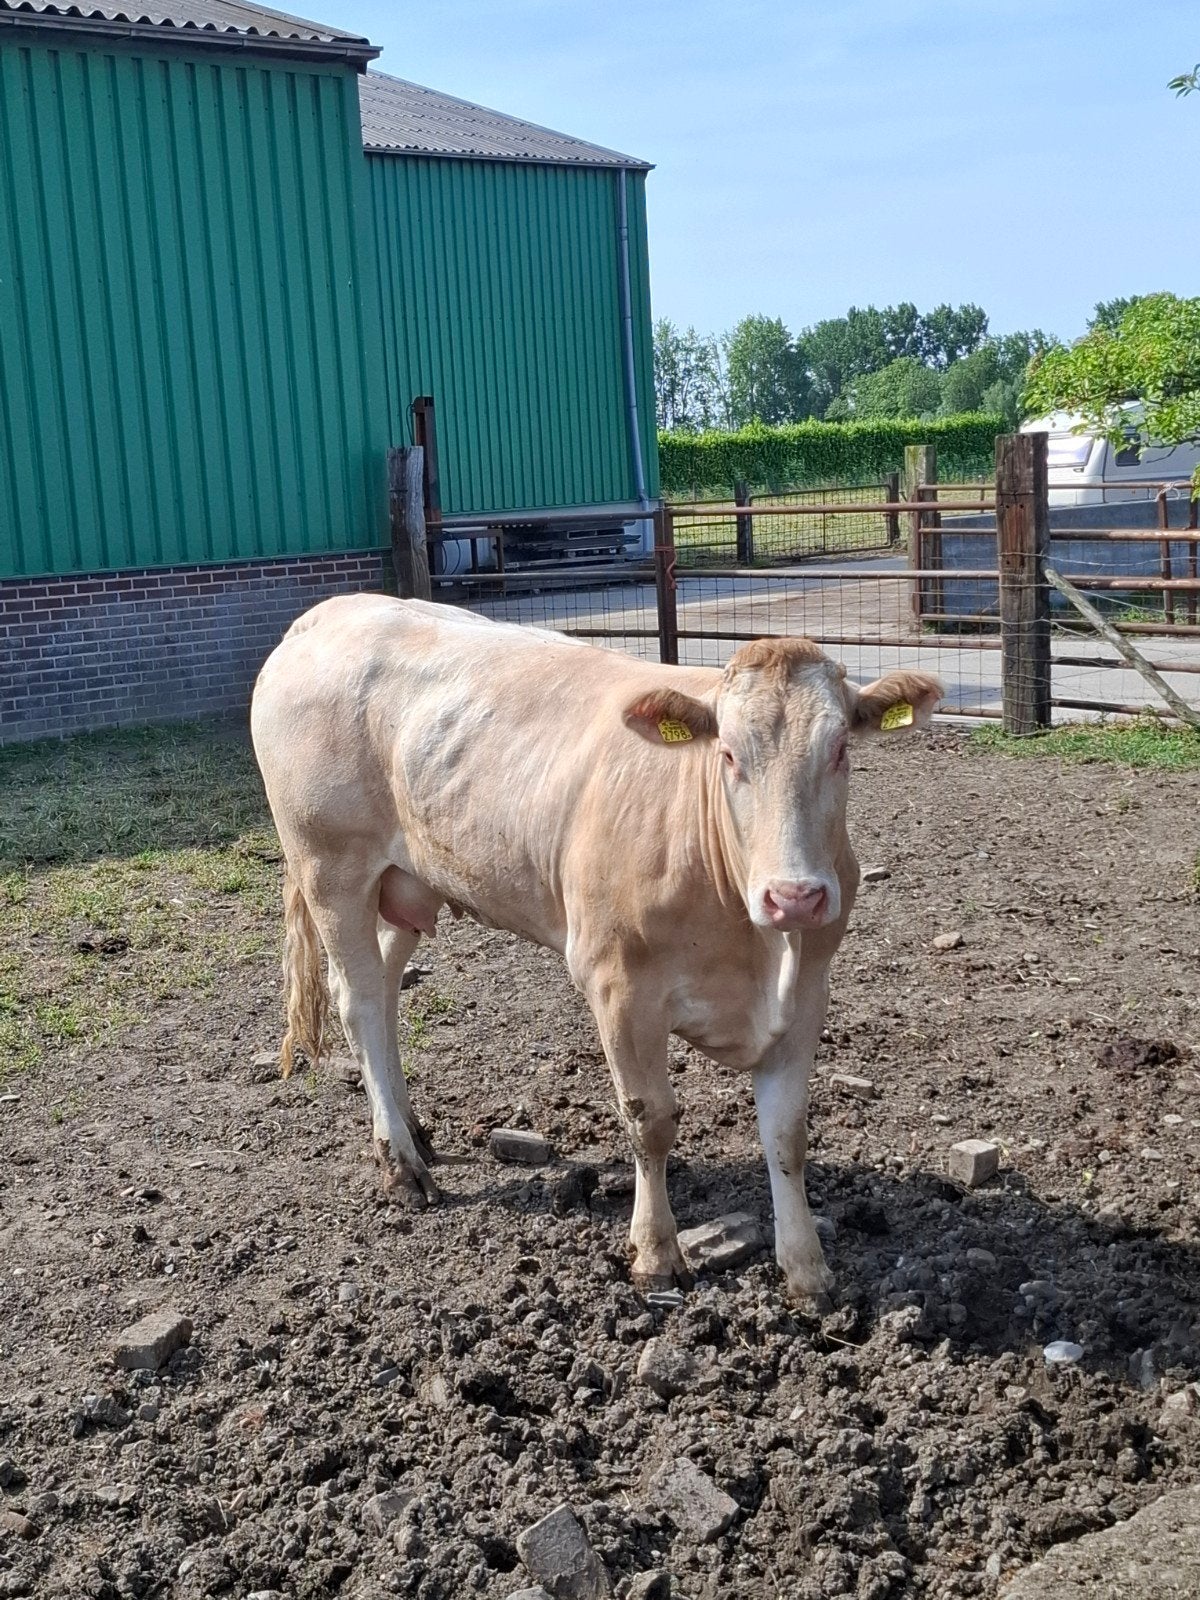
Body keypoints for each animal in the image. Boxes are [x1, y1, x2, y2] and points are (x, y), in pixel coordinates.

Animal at [250, 594, 941, 1305]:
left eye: (840, 749)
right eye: (727, 754)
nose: (795, 897)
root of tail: (333, 610)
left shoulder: (807, 990)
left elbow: (787, 1135)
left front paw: (807, 1269)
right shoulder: (619, 984)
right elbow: (650, 1121)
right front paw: (655, 1254)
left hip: (404, 883)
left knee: (383, 993)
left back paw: (413, 1130)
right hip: (331, 869)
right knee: (357, 1000)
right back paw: (402, 1166)